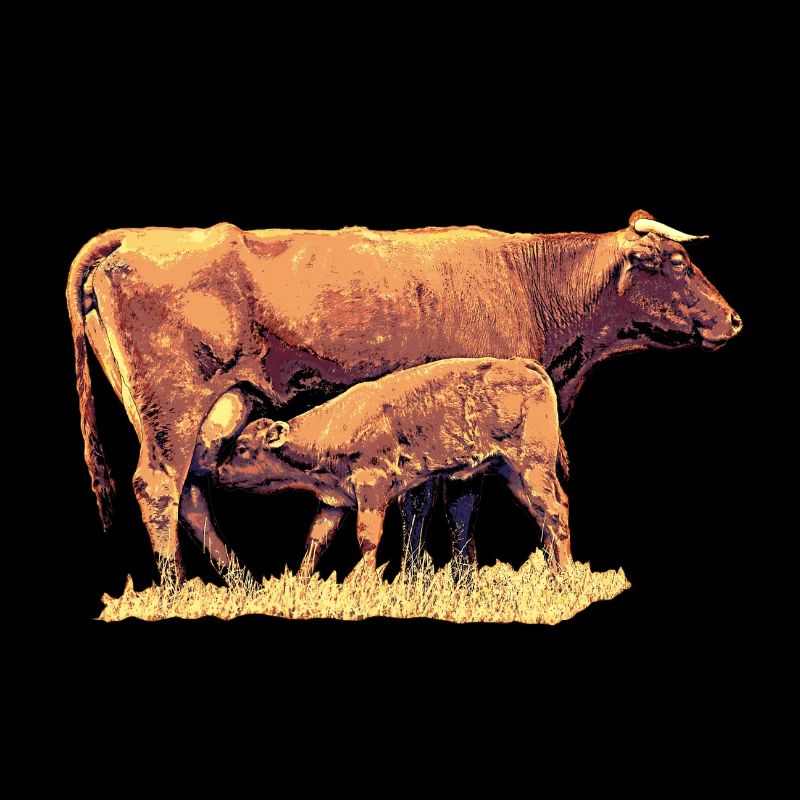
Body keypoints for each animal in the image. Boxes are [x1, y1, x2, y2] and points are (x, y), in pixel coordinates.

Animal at [215, 358, 570, 575]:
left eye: (242, 448)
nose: (219, 472)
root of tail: (519, 364)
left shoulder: (372, 490)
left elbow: (368, 539)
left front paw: (365, 585)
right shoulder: (334, 501)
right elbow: (315, 542)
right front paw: (300, 585)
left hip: (531, 468)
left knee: (554, 513)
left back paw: (565, 578)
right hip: (512, 473)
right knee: (546, 515)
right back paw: (555, 576)